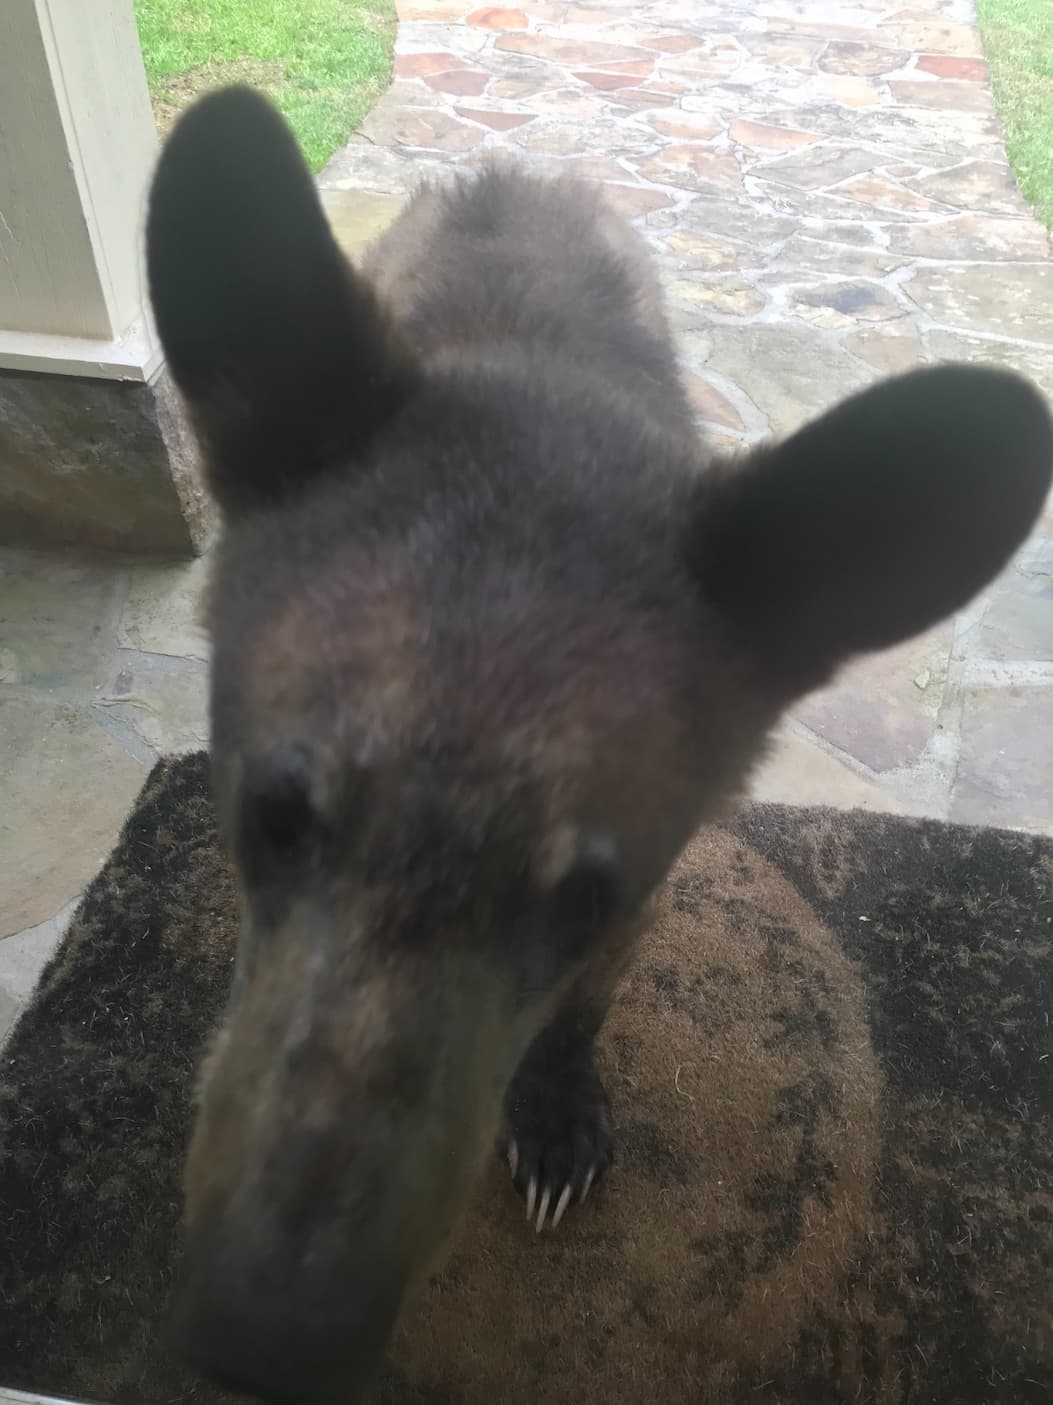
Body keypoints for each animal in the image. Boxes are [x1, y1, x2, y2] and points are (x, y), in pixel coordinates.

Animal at [145, 87, 1052, 1404]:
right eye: (272, 817)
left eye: (580, 903)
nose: (263, 1340)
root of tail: (511, 178)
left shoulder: (643, 894)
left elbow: (578, 1015)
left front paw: (559, 1114)